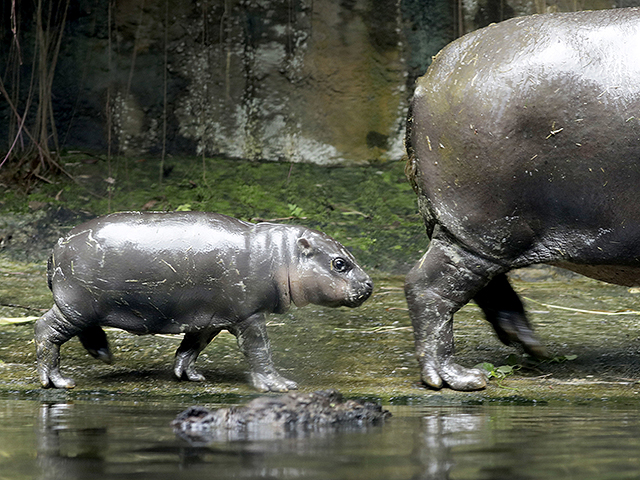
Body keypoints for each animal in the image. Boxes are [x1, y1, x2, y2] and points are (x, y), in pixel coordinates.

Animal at [35, 212, 372, 392]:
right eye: (340, 263)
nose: (369, 285)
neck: (280, 255)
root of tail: (56, 246)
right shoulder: (248, 315)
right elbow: (259, 349)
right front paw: (279, 385)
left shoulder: (211, 317)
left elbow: (192, 346)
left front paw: (190, 376)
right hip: (76, 305)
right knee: (44, 329)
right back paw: (58, 381)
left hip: (83, 307)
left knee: (79, 329)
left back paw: (103, 354)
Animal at [408, 7, 640, 390]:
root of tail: (429, 78)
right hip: (484, 224)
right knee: (428, 287)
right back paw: (458, 378)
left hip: (476, 230)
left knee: (482, 287)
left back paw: (531, 345)